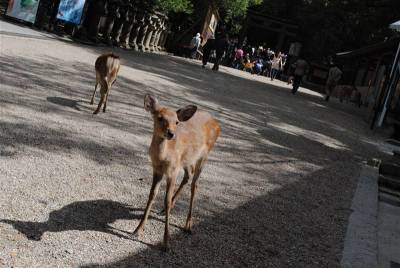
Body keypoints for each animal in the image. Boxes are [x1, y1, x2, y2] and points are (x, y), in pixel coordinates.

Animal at [134, 93, 222, 249]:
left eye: (176, 122)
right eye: (160, 117)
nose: (171, 134)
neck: (163, 158)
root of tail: (217, 123)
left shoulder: (172, 171)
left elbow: (166, 200)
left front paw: (166, 242)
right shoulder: (157, 170)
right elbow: (151, 195)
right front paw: (138, 229)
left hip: (204, 156)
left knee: (195, 184)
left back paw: (188, 225)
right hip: (187, 159)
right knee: (189, 175)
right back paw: (166, 212)